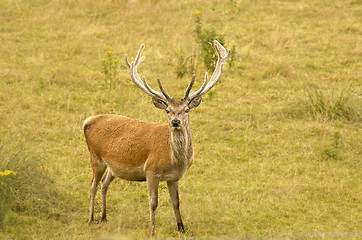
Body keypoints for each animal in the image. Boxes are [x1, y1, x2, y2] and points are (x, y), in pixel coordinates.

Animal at [82, 40, 229, 235]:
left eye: (186, 109)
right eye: (167, 110)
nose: (175, 121)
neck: (175, 160)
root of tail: (87, 120)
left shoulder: (174, 177)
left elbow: (176, 202)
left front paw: (181, 228)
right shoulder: (151, 170)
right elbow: (153, 203)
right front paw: (152, 230)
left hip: (112, 167)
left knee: (105, 183)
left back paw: (104, 217)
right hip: (95, 157)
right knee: (92, 184)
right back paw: (91, 219)